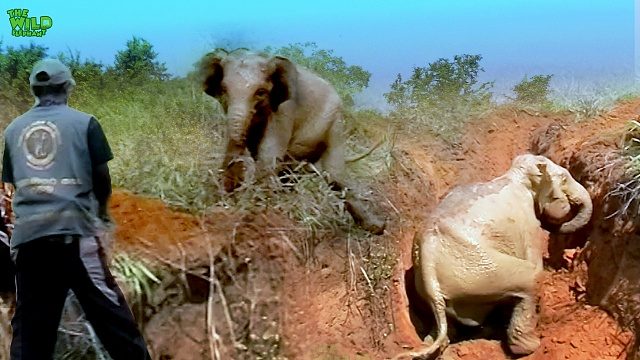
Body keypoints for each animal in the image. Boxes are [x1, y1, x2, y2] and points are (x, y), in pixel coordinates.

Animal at [196, 50, 384, 233]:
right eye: (223, 90)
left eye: (260, 92)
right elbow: (234, 150)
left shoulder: (284, 109)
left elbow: (269, 155)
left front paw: (254, 211)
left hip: (335, 124)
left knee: (334, 175)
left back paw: (376, 228)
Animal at [396, 153, 596, 358]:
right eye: (564, 178)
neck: (516, 174)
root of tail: (428, 252)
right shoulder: (527, 223)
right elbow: (535, 262)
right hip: (481, 272)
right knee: (531, 279)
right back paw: (530, 347)